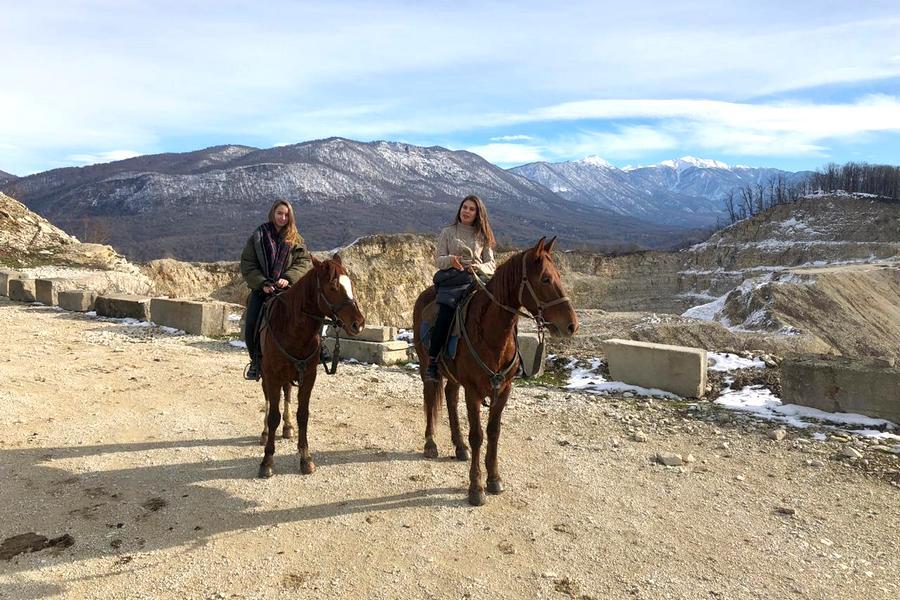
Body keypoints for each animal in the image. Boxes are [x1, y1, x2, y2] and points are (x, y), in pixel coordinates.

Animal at [255, 254, 364, 478]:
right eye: (333, 287)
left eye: (350, 284)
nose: (358, 323)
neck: (293, 330)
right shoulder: (272, 376)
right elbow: (273, 416)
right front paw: (267, 460)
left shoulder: (308, 377)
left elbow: (303, 415)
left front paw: (306, 458)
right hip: (265, 373)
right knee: (269, 400)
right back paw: (265, 433)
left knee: (287, 393)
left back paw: (288, 428)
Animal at [414, 237, 576, 504]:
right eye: (545, 279)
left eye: (559, 276)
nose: (572, 325)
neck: (492, 334)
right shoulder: (473, 391)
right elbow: (477, 435)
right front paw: (476, 488)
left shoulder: (504, 390)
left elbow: (493, 432)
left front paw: (494, 479)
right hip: (427, 366)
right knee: (430, 397)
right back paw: (430, 444)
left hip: (454, 377)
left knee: (450, 396)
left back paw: (459, 447)